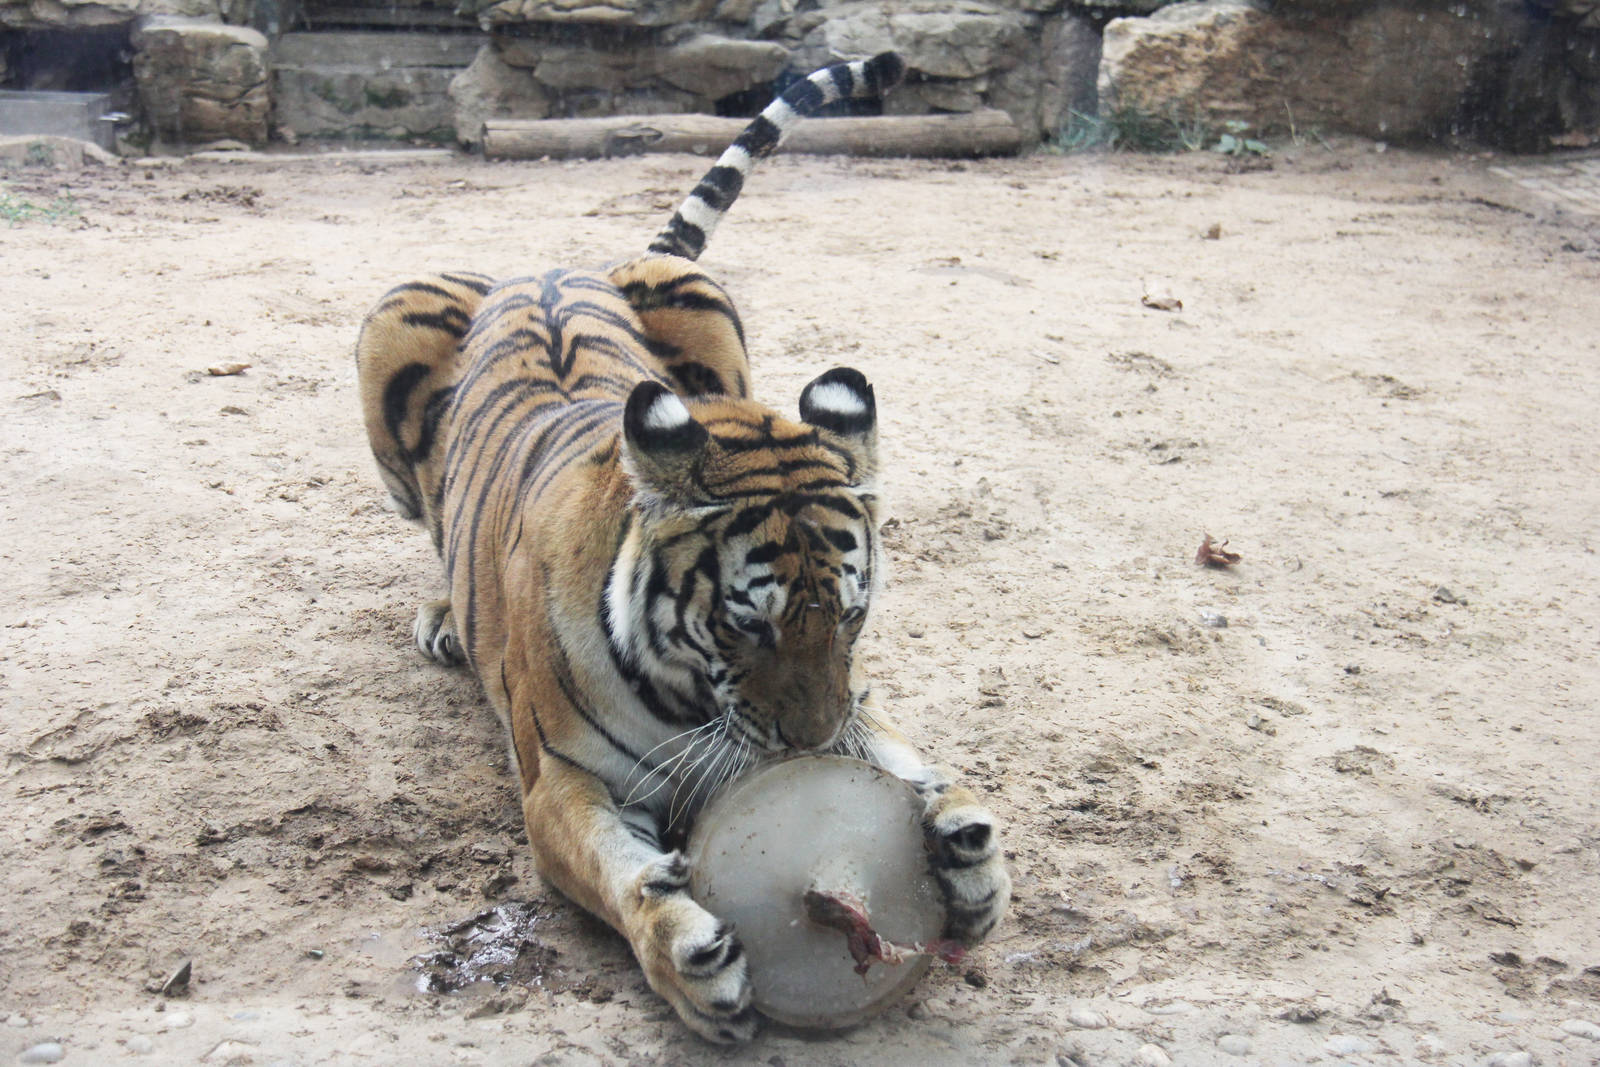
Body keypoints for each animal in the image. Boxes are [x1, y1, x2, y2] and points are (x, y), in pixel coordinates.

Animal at [354, 52, 1010, 1042]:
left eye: (851, 618)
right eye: (747, 626)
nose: (811, 743)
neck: (684, 690)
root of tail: (559, 265)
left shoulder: (856, 701)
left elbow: (906, 753)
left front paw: (968, 850)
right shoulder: (559, 785)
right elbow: (617, 874)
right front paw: (687, 957)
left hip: (710, 311)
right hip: (396, 321)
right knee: (422, 519)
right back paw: (440, 616)